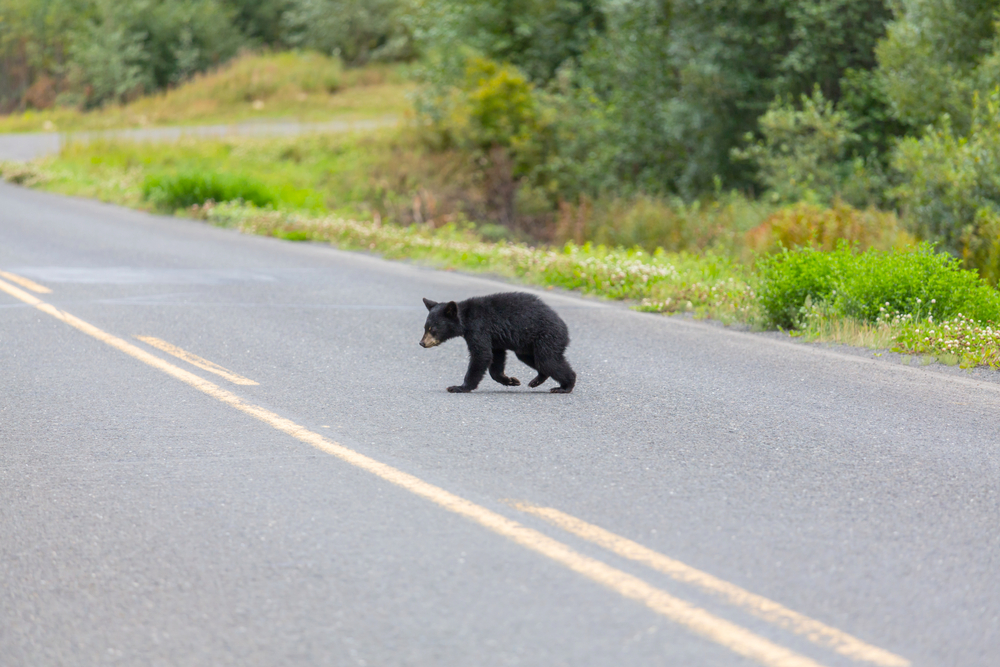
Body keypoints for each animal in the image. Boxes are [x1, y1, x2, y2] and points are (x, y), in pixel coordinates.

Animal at [419, 292, 577, 393]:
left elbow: (481, 355)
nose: (422, 343)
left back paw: (565, 386)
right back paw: (537, 380)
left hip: (546, 338)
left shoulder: (479, 328)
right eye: (425, 327)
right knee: (533, 359)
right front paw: (510, 380)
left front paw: (459, 387)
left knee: (548, 361)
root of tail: (565, 330)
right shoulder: (494, 339)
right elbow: (496, 358)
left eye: (432, 329)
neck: (465, 318)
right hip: (528, 345)